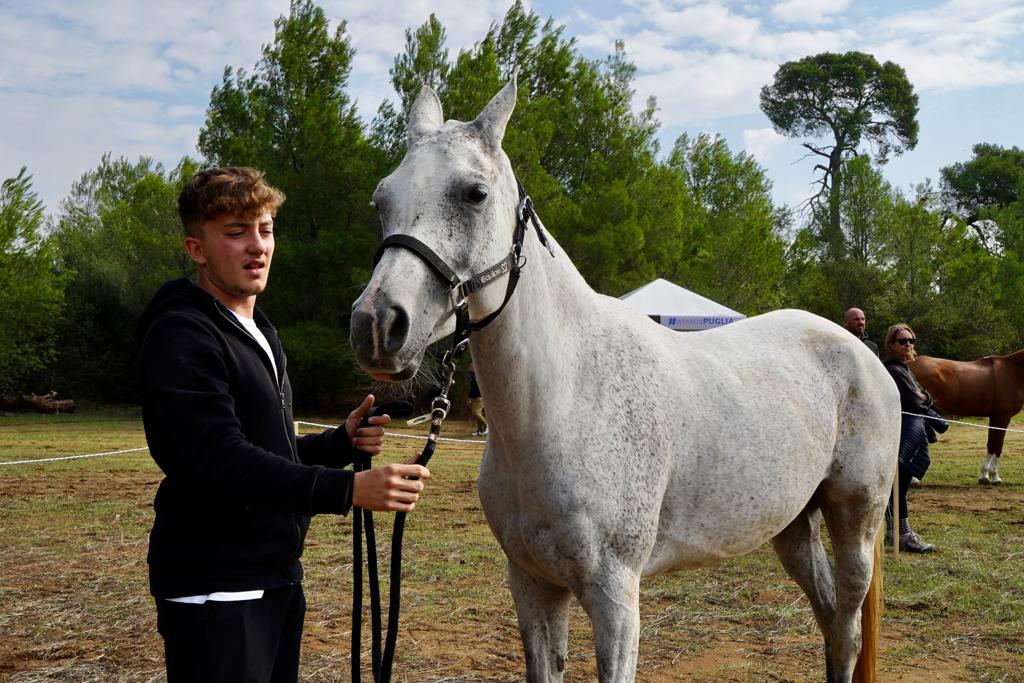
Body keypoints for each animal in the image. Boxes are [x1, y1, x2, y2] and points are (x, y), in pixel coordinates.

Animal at [350, 73, 899, 683]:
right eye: (381, 200)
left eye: (474, 194)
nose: (375, 325)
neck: (562, 404)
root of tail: (860, 353)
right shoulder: (532, 584)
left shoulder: (615, 596)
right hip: (793, 528)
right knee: (829, 621)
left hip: (856, 521)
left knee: (846, 629)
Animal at [909, 350, 1024, 484]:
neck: (1011, 372)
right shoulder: (1002, 417)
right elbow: (997, 446)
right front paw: (995, 477)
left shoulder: (994, 417)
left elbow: (991, 444)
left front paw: (984, 476)